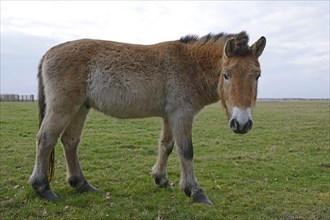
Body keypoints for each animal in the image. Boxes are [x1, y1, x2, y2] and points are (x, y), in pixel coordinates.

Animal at [28, 31, 266, 205]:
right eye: (226, 75)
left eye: (257, 76)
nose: (242, 123)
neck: (190, 64)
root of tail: (49, 52)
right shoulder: (181, 115)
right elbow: (186, 150)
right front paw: (195, 190)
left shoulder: (170, 116)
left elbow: (166, 146)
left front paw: (161, 179)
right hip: (63, 108)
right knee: (45, 139)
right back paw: (42, 187)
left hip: (80, 108)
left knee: (70, 141)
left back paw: (81, 184)